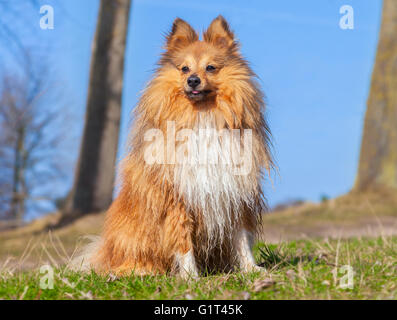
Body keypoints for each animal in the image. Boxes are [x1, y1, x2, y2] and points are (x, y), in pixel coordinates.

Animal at [81, 16, 272, 278]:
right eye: (184, 69)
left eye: (210, 67)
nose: (193, 80)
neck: (202, 116)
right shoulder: (176, 199)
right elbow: (182, 241)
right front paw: (191, 277)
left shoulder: (234, 193)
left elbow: (241, 237)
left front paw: (252, 269)